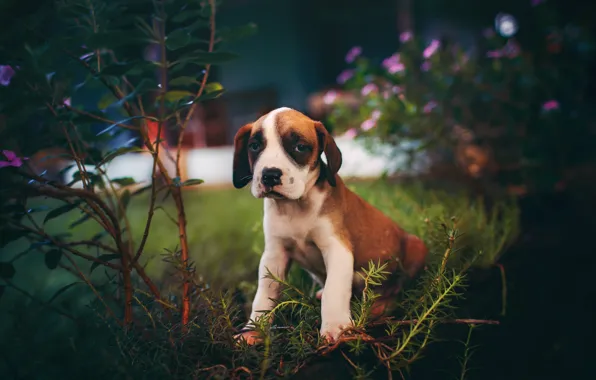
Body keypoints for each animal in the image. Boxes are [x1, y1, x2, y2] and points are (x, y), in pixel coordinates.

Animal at [233, 107, 428, 344]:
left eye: (300, 147)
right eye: (254, 146)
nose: (270, 175)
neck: (295, 207)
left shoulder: (336, 247)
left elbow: (334, 290)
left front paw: (336, 326)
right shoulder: (274, 255)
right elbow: (264, 295)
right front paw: (253, 330)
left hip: (416, 247)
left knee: (396, 290)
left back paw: (379, 307)